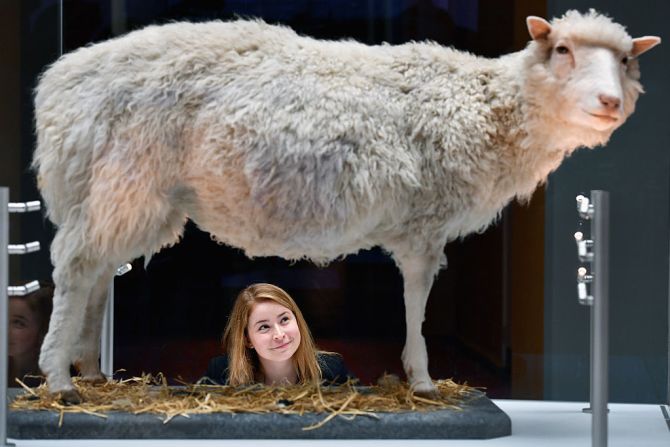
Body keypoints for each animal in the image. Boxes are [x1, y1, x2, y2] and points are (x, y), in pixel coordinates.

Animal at [32, 9, 660, 406]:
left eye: (627, 62)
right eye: (563, 50)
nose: (609, 102)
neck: (485, 106)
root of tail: (59, 83)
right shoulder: (424, 221)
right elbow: (416, 299)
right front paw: (423, 379)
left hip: (120, 193)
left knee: (96, 274)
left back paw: (91, 371)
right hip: (126, 179)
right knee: (76, 268)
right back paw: (59, 378)